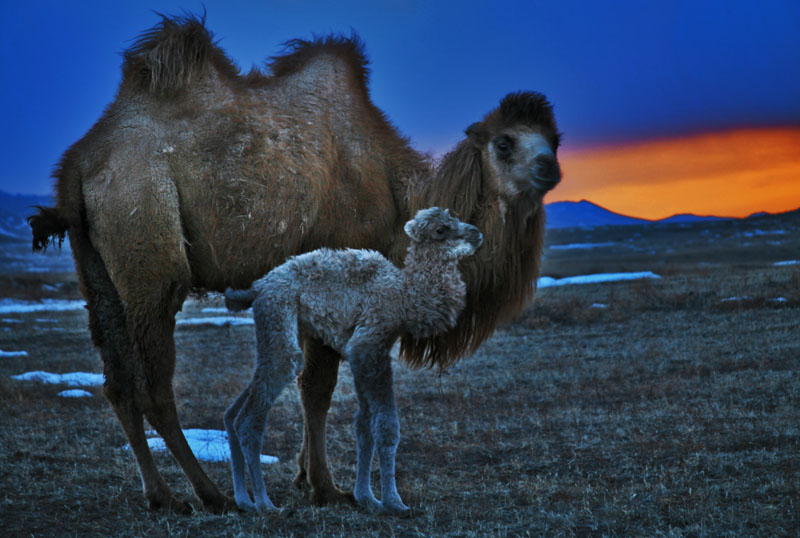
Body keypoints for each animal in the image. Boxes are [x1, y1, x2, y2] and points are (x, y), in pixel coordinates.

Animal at [222, 205, 482, 510]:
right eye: (441, 229)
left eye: (455, 217)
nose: (476, 233)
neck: (403, 297)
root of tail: (258, 288)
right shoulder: (370, 344)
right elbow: (386, 425)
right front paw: (394, 502)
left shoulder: (364, 354)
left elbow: (363, 425)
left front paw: (367, 497)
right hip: (279, 312)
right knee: (253, 413)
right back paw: (265, 504)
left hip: (274, 325)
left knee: (235, 412)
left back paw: (244, 500)